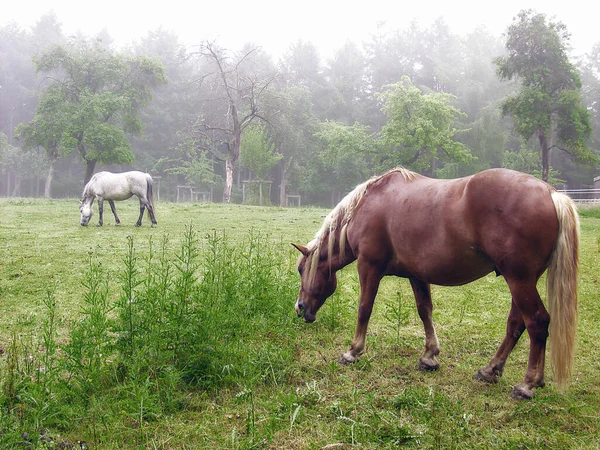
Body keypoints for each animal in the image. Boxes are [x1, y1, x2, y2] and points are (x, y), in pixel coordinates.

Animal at [292, 167, 580, 400]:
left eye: (300, 269)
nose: (300, 307)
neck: (368, 204)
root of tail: (551, 194)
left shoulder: (369, 266)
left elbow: (365, 309)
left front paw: (353, 351)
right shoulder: (417, 274)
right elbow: (425, 311)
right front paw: (430, 356)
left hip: (519, 280)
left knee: (537, 323)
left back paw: (528, 384)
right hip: (522, 281)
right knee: (516, 324)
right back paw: (490, 370)